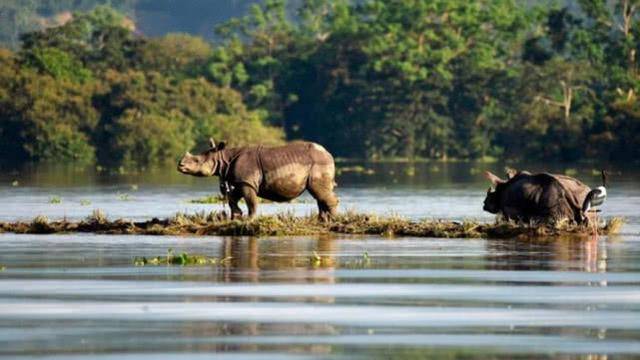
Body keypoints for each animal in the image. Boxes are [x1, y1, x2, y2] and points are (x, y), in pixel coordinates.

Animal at [178, 140, 338, 219]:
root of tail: (329, 153)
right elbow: (233, 198)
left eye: (197, 161)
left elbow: (251, 202)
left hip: (319, 162)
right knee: (319, 194)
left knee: (318, 191)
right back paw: (322, 220)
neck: (224, 158)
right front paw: (237, 215)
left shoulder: (247, 182)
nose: (180, 165)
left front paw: (250, 219)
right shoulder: (241, 181)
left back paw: (333, 220)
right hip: (319, 162)